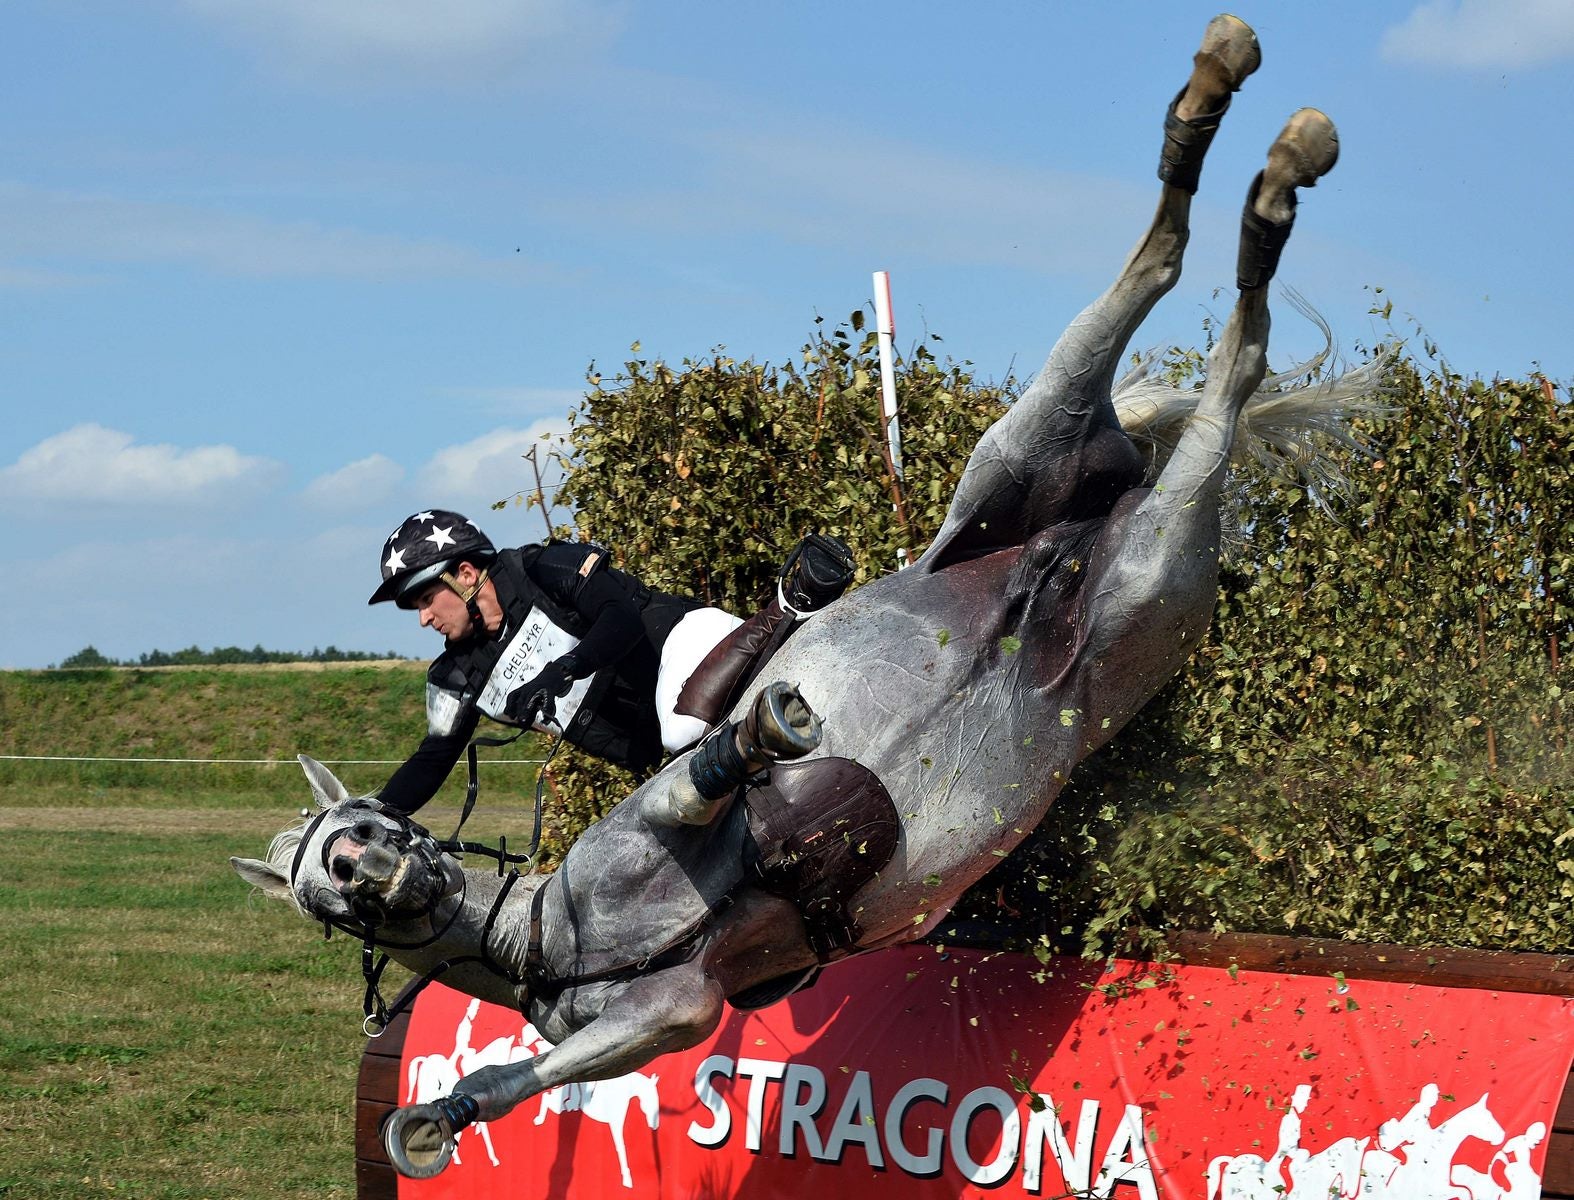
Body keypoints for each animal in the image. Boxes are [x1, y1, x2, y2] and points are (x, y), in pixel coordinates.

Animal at [229, 16, 1366, 1177]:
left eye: (357, 829)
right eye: (323, 876)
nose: (375, 864)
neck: (542, 935)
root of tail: (1076, 539)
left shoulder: (663, 820)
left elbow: (707, 771)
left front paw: (765, 730)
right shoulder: (672, 1009)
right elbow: (537, 1069)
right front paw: (437, 1120)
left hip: (1023, 471)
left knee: (1172, 287)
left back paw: (1236, 106)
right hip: (1139, 597)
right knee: (1227, 363)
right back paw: (1275, 163)